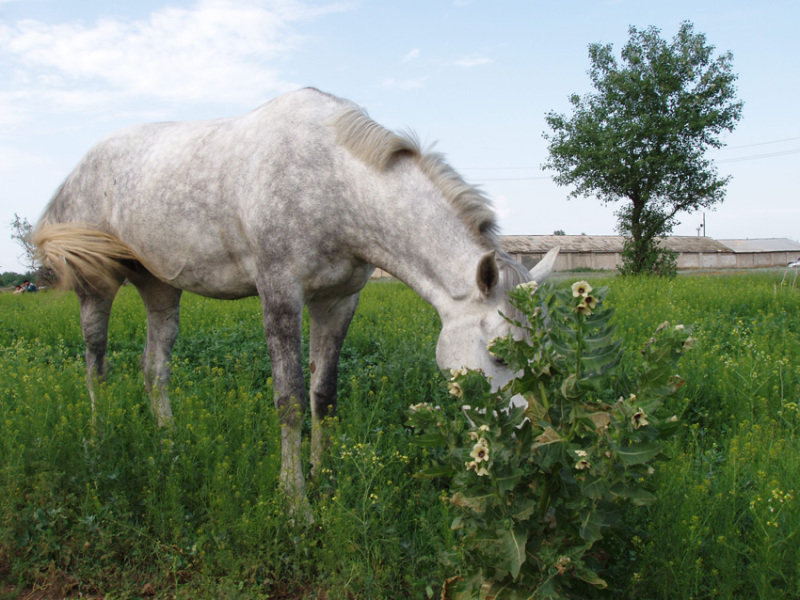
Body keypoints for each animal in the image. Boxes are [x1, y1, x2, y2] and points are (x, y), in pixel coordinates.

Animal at [32, 88, 556, 510]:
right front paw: (295, 502)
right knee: (96, 364)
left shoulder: (338, 302)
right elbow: (290, 401)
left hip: (161, 289)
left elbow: (323, 396)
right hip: (97, 287)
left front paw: (324, 479)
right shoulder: (280, 295)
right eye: (497, 354)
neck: (335, 182)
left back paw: (169, 444)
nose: (524, 446)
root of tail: (79, 168)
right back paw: (99, 440)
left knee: (154, 369)